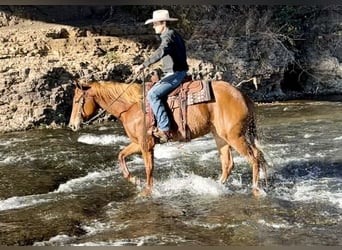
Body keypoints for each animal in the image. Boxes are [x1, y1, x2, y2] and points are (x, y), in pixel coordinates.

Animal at [68, 78, 268, 197]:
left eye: (77, 100)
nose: (72, 125)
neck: (131, 106)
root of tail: (242, 95)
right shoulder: (138, 143)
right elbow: (121, 156)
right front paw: (134, 180)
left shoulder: (146, 144)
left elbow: (149, 167)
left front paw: (147, 191)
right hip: (221, 137)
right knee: (228, 163)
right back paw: (216, 186)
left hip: (235, 137)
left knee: (254, 158)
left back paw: (255, 189)